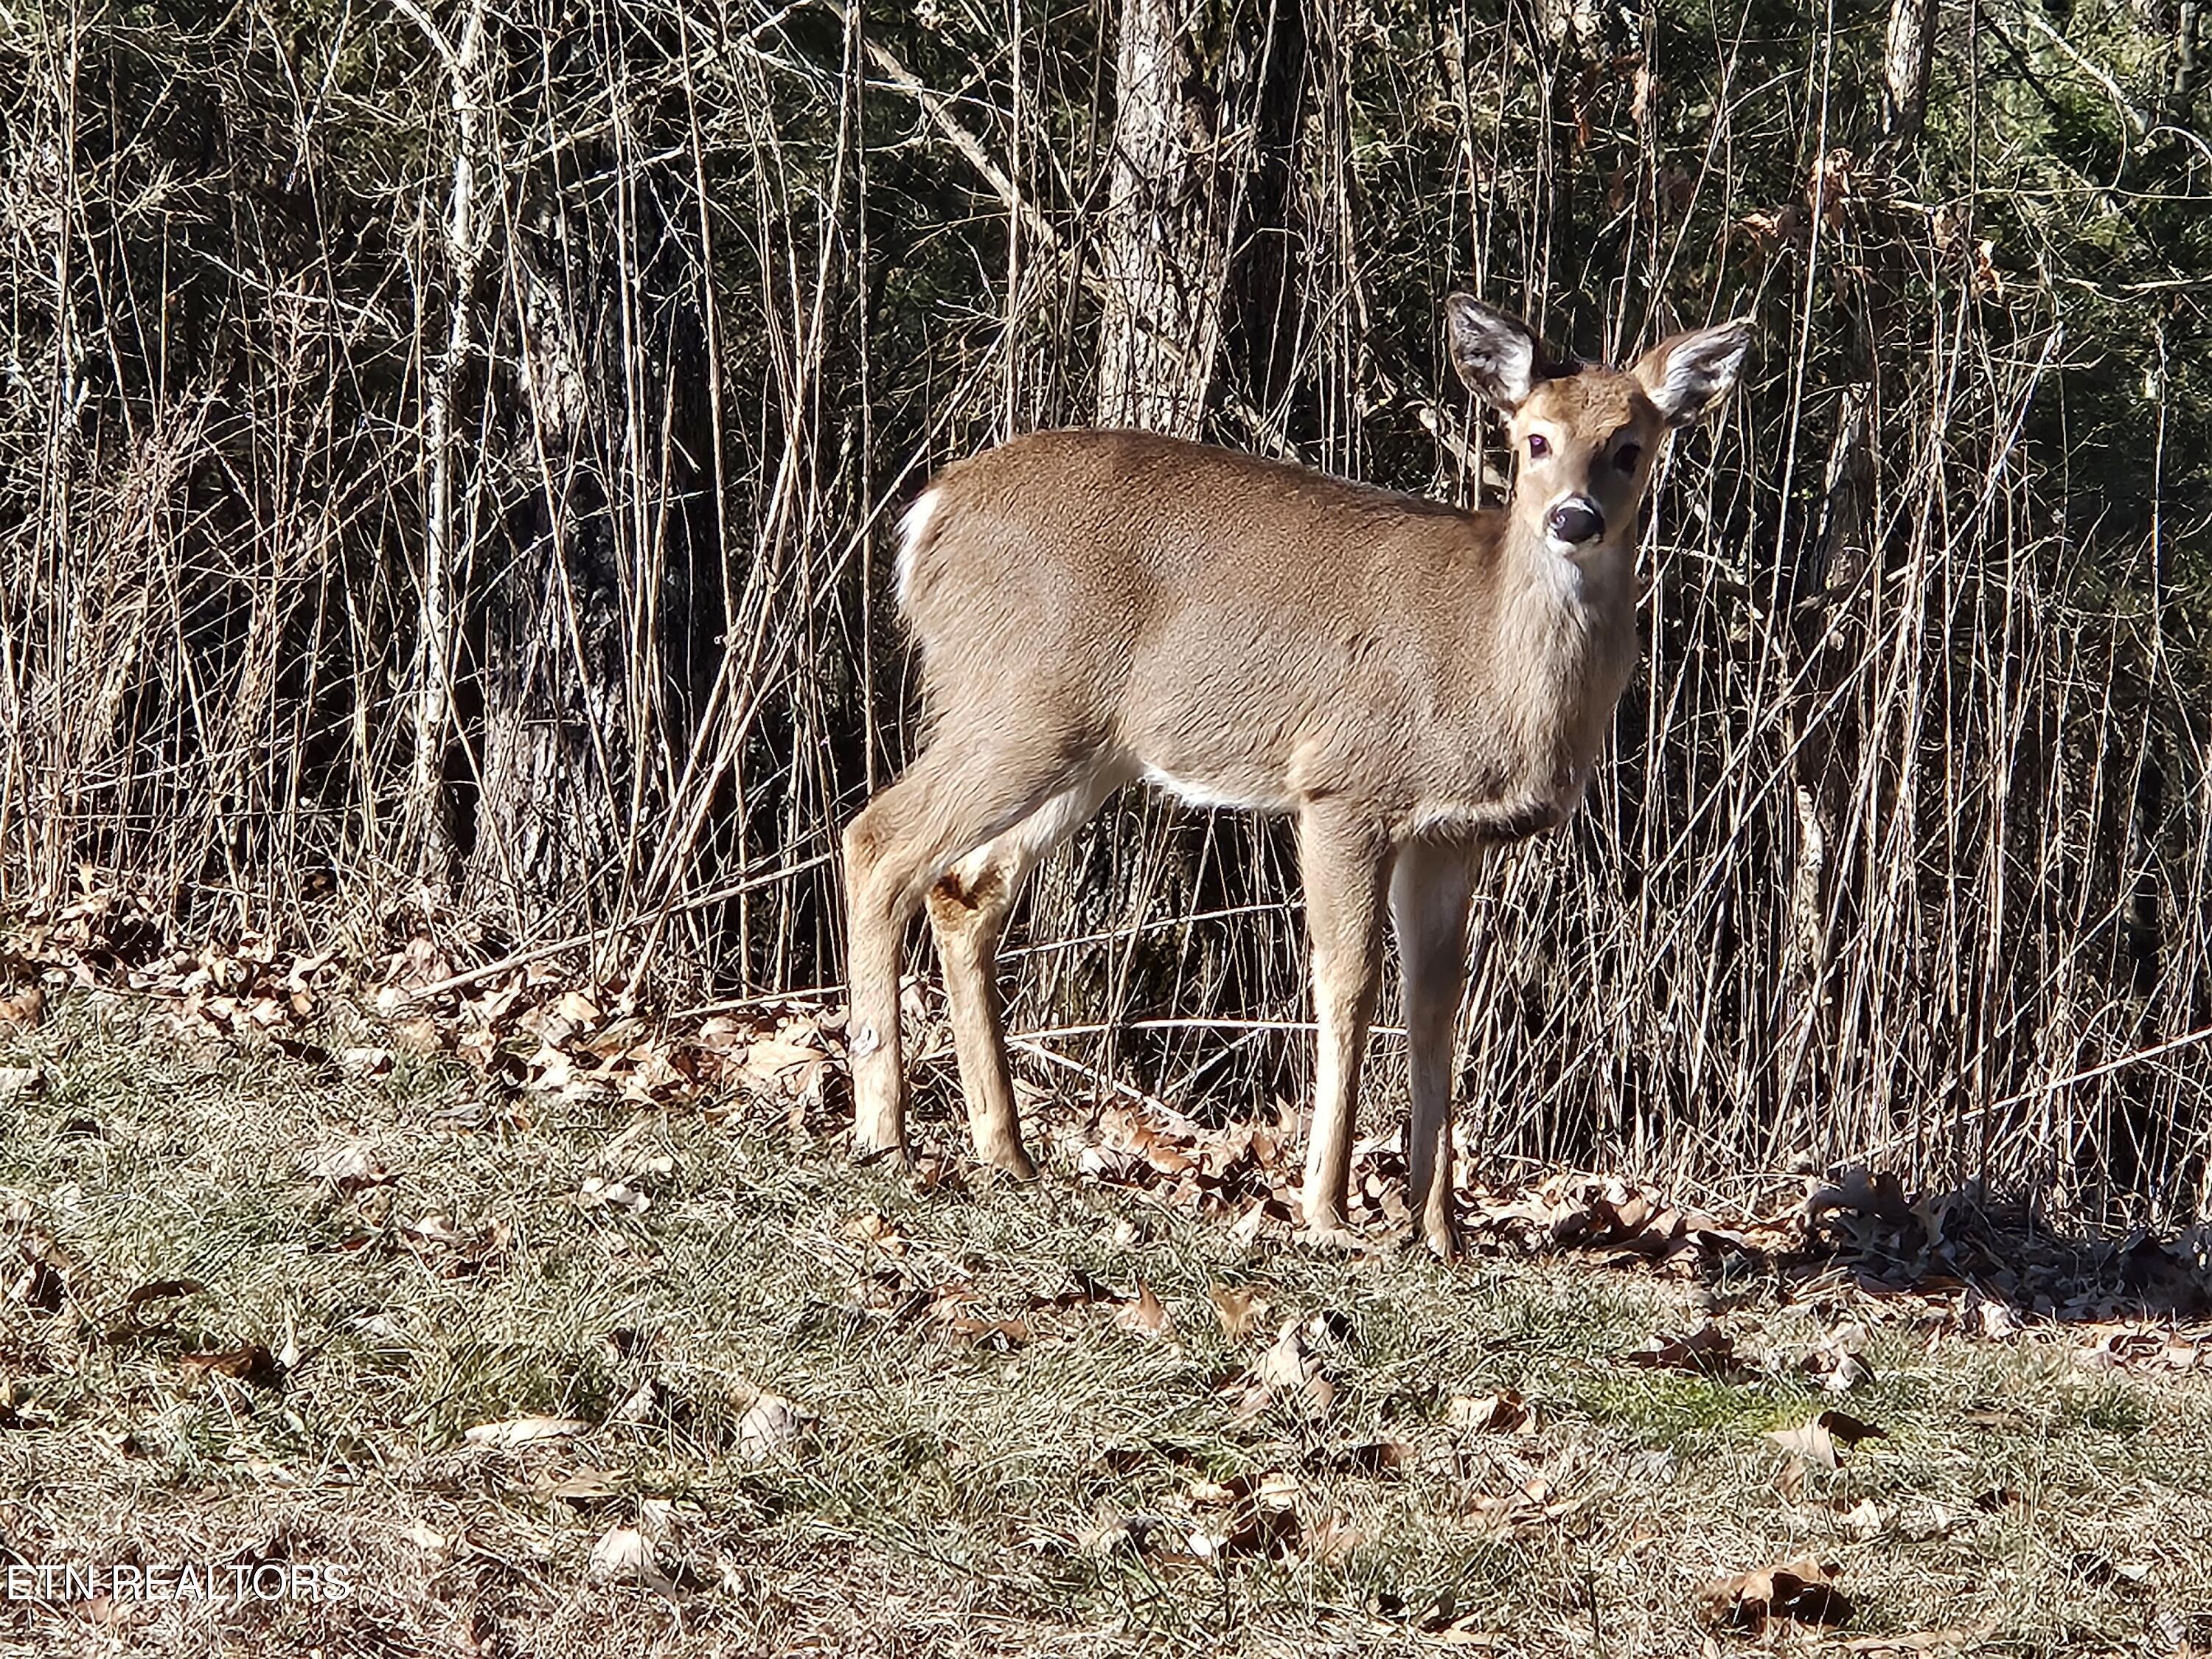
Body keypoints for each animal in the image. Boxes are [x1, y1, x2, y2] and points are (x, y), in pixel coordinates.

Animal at [836, 303, 1752, 1256]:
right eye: (1535, 439)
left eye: (1630, 446)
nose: (1574, 518)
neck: (1487, 660)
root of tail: (928, 516)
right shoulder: (1345, 786)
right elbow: (1348, 985)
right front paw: (1328, 1211)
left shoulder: (1452, 833)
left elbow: (1437, 1004)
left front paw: (1439, 1231)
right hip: (1021, 700)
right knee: (879, 839)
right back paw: (884, 1132)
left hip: (1085, 744)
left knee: (963, 890)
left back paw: (1005, 1151)